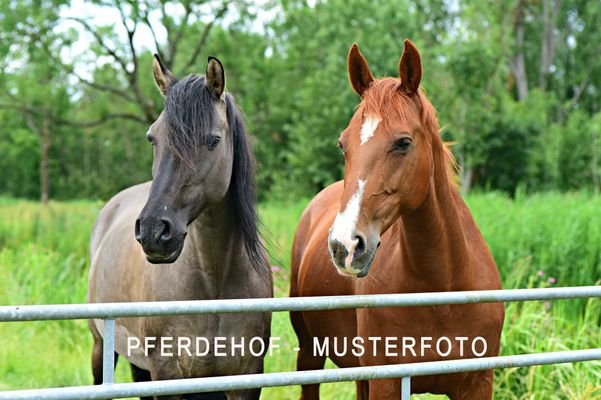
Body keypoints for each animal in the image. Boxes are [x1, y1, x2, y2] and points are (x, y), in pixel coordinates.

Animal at [86, 54, 272, 398]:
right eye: (152, 137)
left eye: (213, 140)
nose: (153, 232)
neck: (214, 280)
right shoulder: (168, 374)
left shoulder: (247, 376)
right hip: (101, 347)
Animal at [288, 41, 504, 400]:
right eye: (343, 144)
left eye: (403, 142)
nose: (344, 245)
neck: (443, 289)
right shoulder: (386, 382)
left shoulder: (478, 383)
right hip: (310, 354)